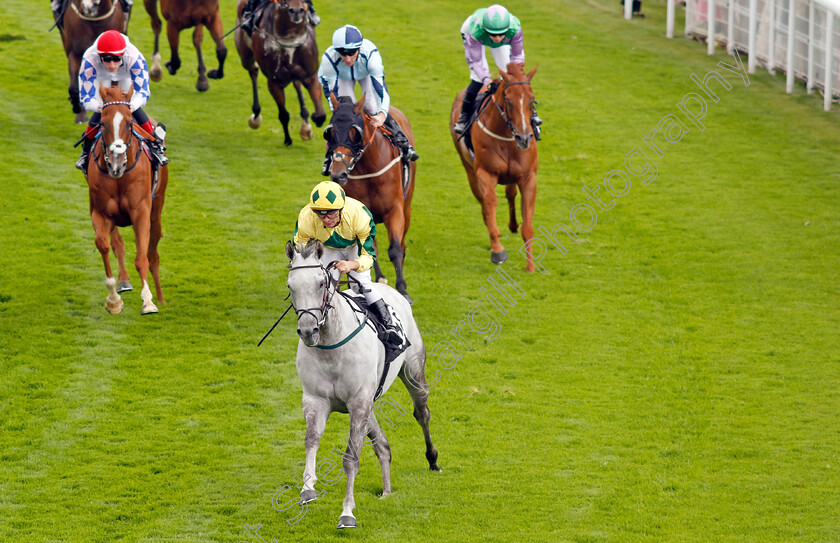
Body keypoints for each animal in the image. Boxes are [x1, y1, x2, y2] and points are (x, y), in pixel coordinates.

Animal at [87, 84, 169, 314]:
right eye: (102, 123)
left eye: (129, 123)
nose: (116, 164)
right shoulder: (100, 212)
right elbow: (104, 244)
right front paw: (113, 300)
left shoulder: (141, 211)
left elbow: (141, 258)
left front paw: (149, 302)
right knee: (118, 243)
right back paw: (124, 282)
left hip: (156, 210)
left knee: (153, 255)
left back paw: (161, 298)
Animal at [238, 0, 330, 146]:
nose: (297, 11)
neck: (290, 37)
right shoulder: (274, 82)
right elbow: (283, 114)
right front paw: (288, 140)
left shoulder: (311, 75)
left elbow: (321, 114)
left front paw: (312, 122)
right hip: (245, 56)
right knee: (253, 71)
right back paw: (256, 115)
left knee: (296, 83)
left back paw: (305, 121)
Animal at [284, 240, 440, 528]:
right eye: (291, 286)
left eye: (321, 283)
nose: (308, 331)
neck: (331, 345)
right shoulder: (316, 399)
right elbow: (311, 441)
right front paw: (307, 489)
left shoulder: (358, 402)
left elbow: (351, 458)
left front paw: (347, 512)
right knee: (382, 444)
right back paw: (386, 489)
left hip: (413, 372)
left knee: (422, 413)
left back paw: (433, 459)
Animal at [324, 95, 416, 304]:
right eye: (330, 133)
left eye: (354, 132)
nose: (338, 173)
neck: (369, 170)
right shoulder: (360, 216)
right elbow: (368, 250)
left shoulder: (395, 210)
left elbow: (395, 248)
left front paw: (403, 289)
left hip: (407, 206)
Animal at [450, 65, 540, 272]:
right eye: (508, 101)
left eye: (532, 100)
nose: (524, 137)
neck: (507, 137)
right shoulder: (485, 173)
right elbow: (490, 201)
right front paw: (497, 251)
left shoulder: (528, 177)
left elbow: (528, 225)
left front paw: (530, 266)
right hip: (469, 169)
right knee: (483, 201)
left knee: (510, 194)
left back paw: (513, 225)